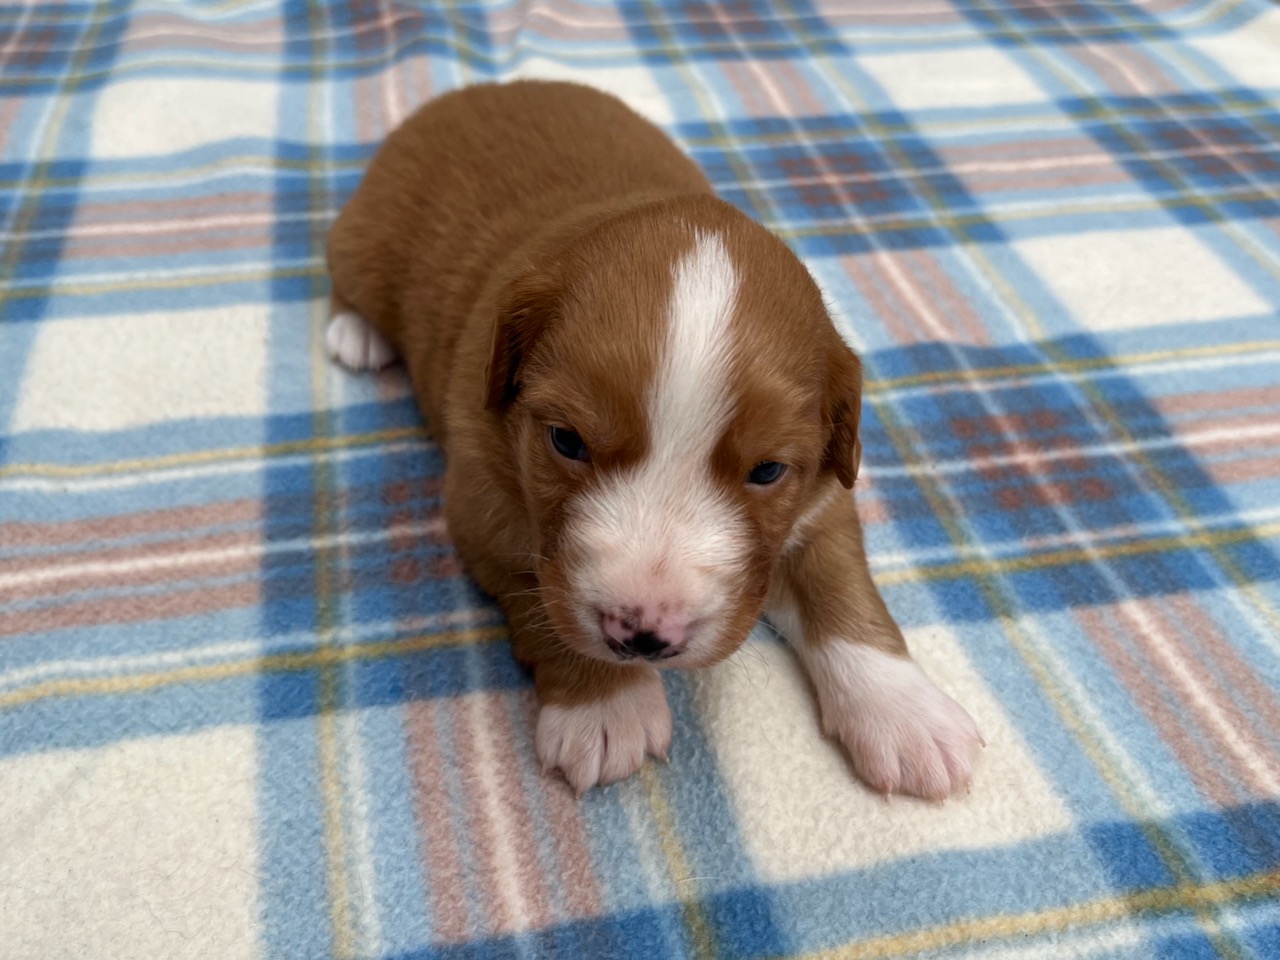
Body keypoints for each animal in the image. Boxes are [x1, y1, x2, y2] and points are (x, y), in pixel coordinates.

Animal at [326, 81, 982, 798]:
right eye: (566, 441)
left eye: (767, 470)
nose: (644, 638)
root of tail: (475, 91)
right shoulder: (482, 508)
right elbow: (541, 592)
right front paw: (605, 705)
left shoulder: (821, 501)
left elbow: (840, 586)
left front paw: (904, 711)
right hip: (366, 239)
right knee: (345, 280)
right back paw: (357, 335)